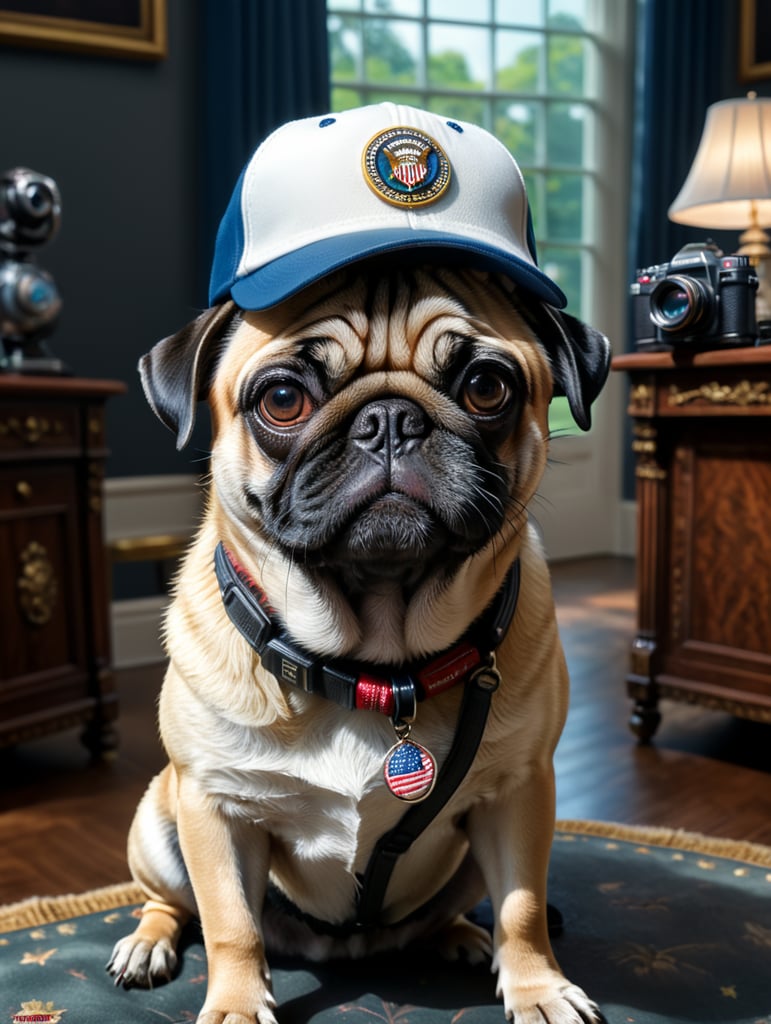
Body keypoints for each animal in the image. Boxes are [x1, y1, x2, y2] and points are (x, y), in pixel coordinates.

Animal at [108, 105, 610, 1024]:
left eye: (486, 387)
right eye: (281, 399)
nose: (389, 420)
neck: (375, 664)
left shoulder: (521, 792)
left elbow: (523, 907)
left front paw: (537, 987)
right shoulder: (212, 806)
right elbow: (231, 924)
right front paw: (236, 1002)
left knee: (465, 906)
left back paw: (459, 938)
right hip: (159, 819)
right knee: (174, 901)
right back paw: (147, 942)